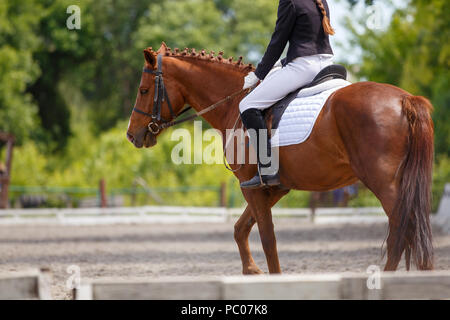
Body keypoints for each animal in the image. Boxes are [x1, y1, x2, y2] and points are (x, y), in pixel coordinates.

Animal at [127, 42, 436, 272]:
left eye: (143, 90)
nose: (132, 135)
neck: (233, 102)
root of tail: (405, 99)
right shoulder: (274, 187)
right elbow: (240, 228)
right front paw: (251, 271)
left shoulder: (251, 186)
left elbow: (268, 239)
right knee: (414, 232)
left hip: (383, 183)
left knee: (403, 231)